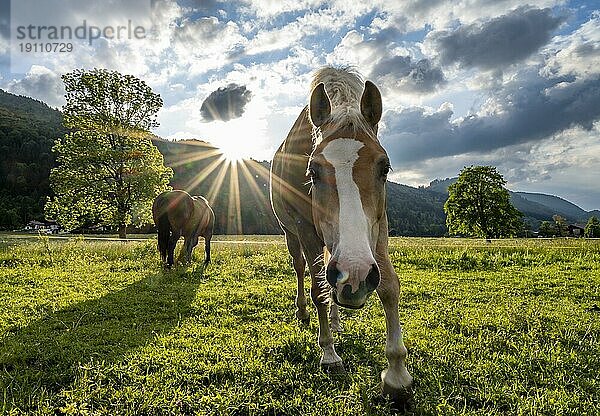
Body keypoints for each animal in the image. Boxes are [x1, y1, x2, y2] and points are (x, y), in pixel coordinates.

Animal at [270, 66, 412, 408]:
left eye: (384, 167)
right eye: (313, 171)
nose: (355, 275)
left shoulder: (378, 229)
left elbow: (389, 287)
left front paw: (396, 374)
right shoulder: (306, 230)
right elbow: (317, 289)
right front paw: (329, 353)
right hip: (292, 235)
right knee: (303, 272)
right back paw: (305, 313)